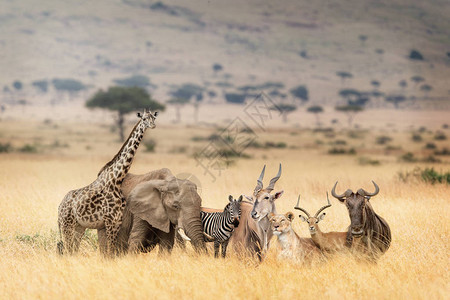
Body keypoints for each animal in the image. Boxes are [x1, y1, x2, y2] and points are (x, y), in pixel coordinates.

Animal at [57, 109, 158, 256]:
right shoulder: (110, 221)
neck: (117, 179)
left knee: (72, 250)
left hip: (78, 226)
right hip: (67, 225)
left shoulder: (117, 221)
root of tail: (59, 207)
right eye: (144, 119)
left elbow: (111, 250)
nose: (153, 125)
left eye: (153, 118)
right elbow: (110, 250)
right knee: (66, 249)